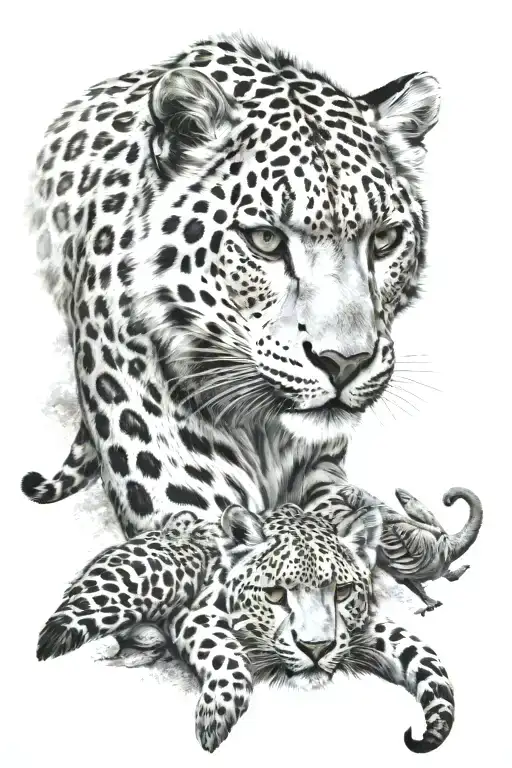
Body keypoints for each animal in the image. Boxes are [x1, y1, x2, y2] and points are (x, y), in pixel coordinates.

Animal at [37, 502, 454, 754]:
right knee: (59, 627)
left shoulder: (362, 625)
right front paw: (215, 715)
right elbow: (225, 653)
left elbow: (420, 652)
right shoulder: (197, 612)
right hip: (165, 568)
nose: (316, 648)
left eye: (342, 591)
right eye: (275, 594)